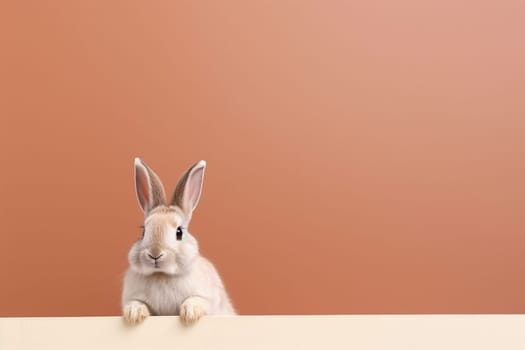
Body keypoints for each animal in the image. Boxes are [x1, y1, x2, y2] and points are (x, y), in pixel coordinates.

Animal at [122, 157, 234, 324]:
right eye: (143, 231)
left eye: (179, 232)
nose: (155, 254)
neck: (162, 274)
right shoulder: (131, 297)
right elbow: (136, 303)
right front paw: (134, 314)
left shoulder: (205, 298)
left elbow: (195, 300)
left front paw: (190, 313)